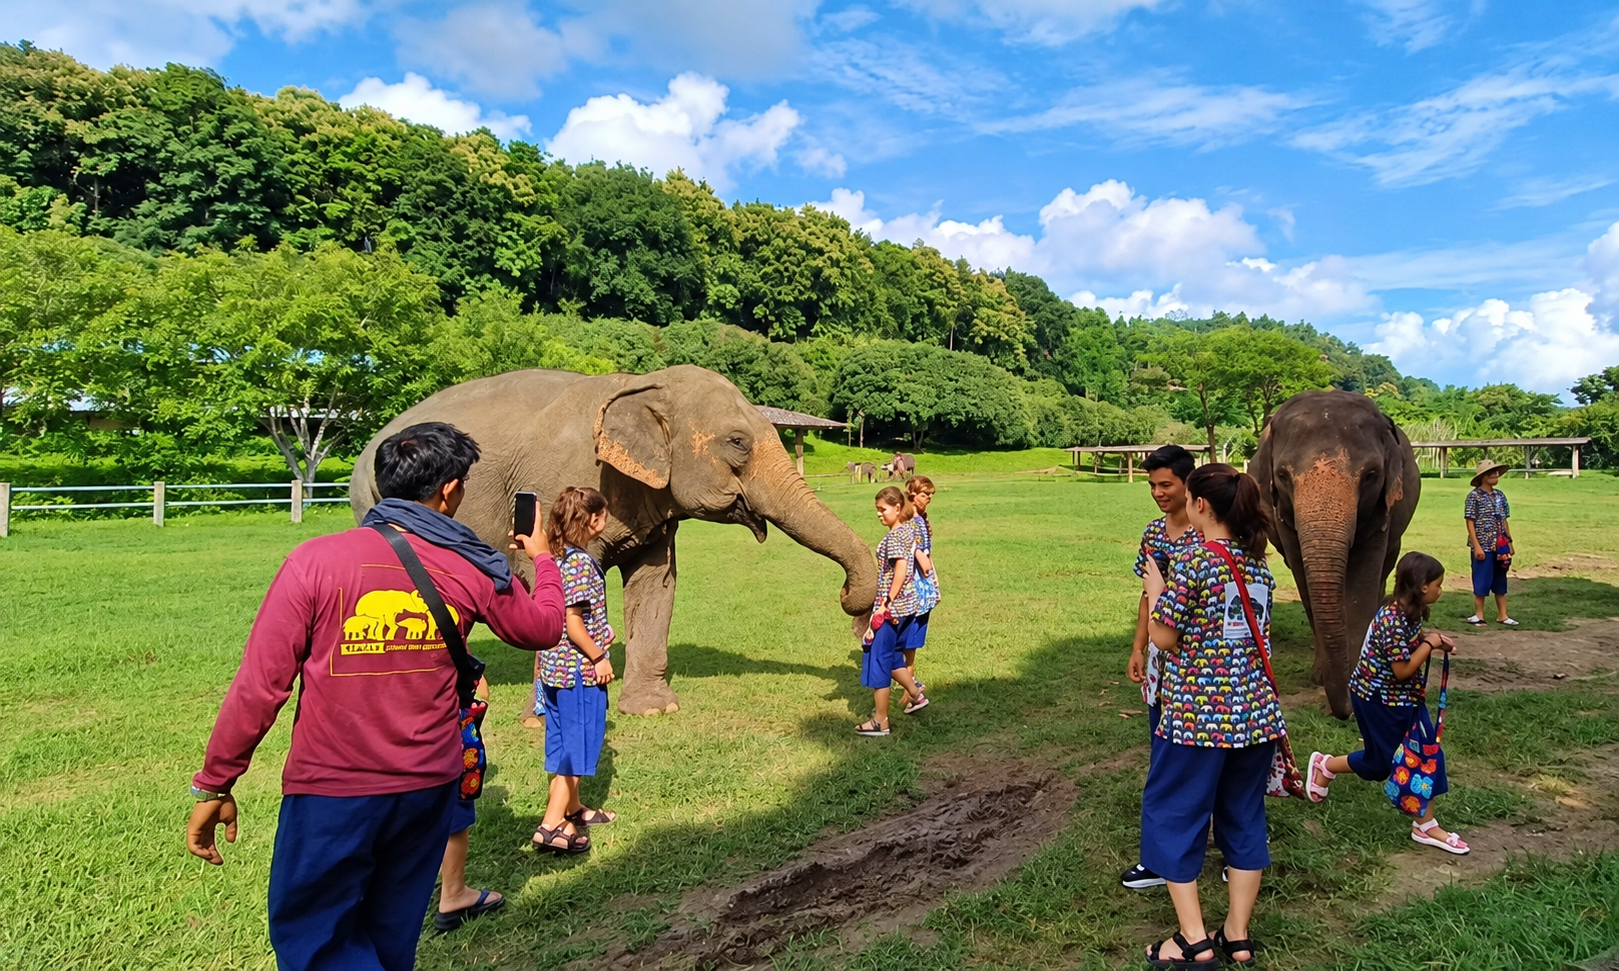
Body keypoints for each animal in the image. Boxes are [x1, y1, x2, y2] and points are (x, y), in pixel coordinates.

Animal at [351, 365, 879, 716]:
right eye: (737, 443)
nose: (847, 599)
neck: (639, 383)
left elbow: (655, 583)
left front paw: (654, 710)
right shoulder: (550, 485)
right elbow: (548, 581)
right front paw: (543, 717)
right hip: (368, 499)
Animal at [1250, 390, 1420, 718]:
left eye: (1371, 474)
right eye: (1282, 475)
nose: (1347, 712)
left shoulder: (1382, 509)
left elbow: (1364, 578)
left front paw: (1357, 674)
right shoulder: (1283, 516)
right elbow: (1303, 575)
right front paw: (1323, 676)